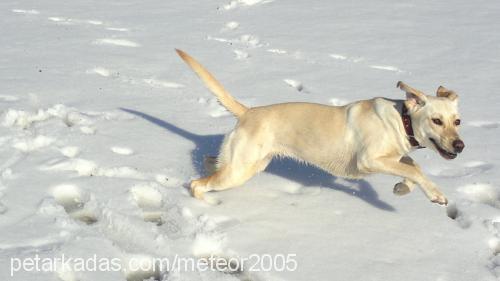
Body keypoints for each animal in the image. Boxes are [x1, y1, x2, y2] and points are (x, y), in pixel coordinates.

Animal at [177, 49, 464, 205]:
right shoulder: (369, 160)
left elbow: (413, 167)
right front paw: (436, 194)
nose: (460, 145)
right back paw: (208, 204)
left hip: (247, 164)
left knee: (209, 161)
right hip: (238, 171)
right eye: (436, 120)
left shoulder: (394, 156)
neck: (401, 120)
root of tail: (248, 111)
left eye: (457, 121)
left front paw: (402, 188)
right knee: (197, 185)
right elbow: (415, 170)